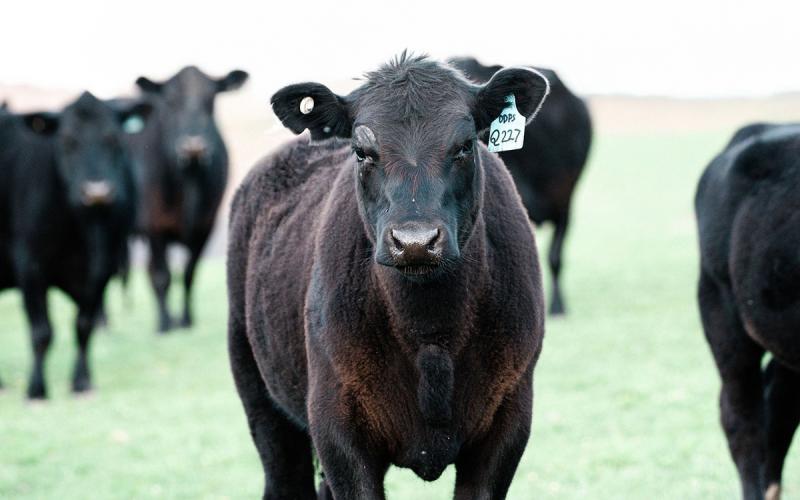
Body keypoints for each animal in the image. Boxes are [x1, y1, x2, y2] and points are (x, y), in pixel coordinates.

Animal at [0, 92, 149, 399]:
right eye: (67, 141)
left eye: (113, 138)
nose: (96, 191)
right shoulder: (30, 265)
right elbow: (42, 332)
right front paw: (36, 389)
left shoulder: (103, 268)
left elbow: (84, 325)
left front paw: (82, 382)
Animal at [129, 66, 248, 332]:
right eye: (171, 100)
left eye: (211, 98)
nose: (193, 144)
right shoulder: (153, 226)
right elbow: (162, 275)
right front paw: (164, 324)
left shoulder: (206, 226)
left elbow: (189, 273)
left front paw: (185, 320)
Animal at [228, 54, 548, 499]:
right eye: (362, 152)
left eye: (466, 145)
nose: (415, 241)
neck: (431, 336)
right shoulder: (336, 425)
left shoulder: (508, 418)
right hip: (258, 392)